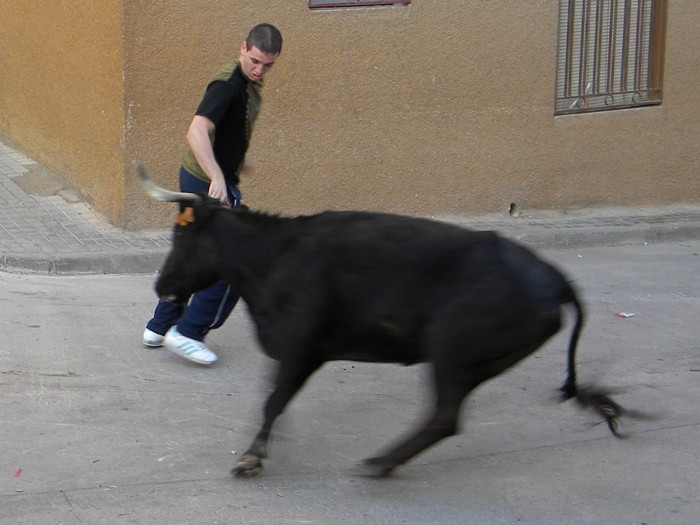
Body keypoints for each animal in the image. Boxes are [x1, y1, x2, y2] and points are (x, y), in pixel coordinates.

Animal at [138, 167, 624, 474]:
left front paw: (252, 457)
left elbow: (273, 400)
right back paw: (386, 462)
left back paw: (381, 463)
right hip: (477, 363)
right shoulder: (295, 352)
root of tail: (555, 280)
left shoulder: (301, 348)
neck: (275, 257)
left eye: (181, 235)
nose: (161, 284)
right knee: (445, 417)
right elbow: (274, 397)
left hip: (452, 351)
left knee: (445, 416)